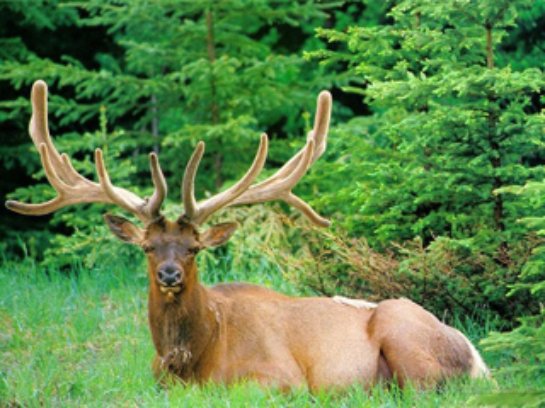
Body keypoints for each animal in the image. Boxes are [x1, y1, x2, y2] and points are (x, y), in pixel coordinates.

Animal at [6, 81, 486, 390]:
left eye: (194, 249)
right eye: (147, 247)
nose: (169, 274)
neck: (191, 361)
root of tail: (478, 359)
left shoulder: (280, 378)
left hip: (404, 336)